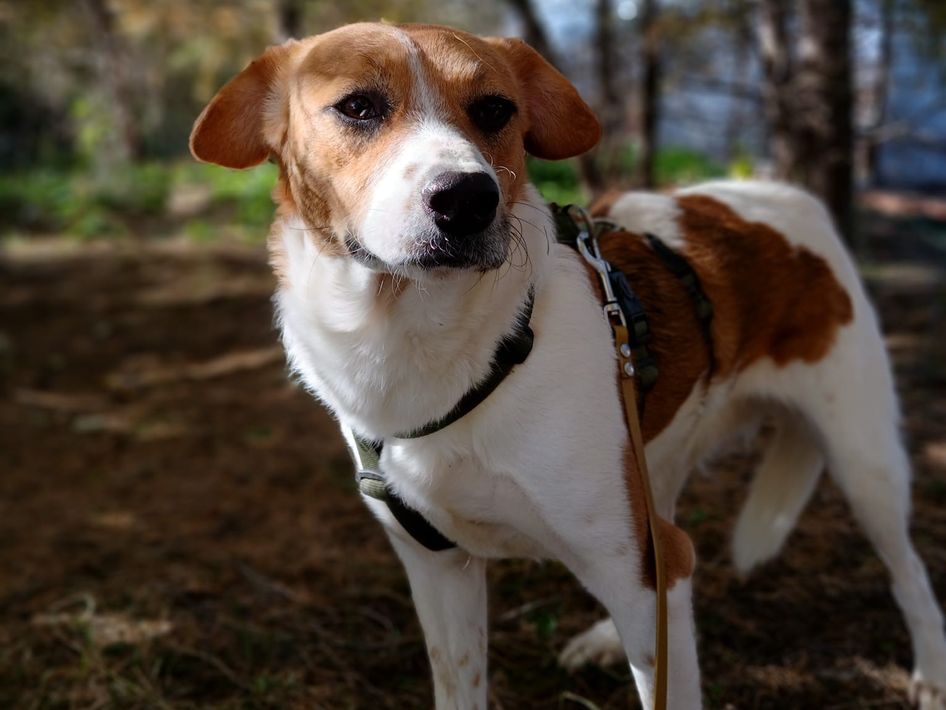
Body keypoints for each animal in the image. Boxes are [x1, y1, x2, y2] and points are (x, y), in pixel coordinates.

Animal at [189, 22, 946, 709]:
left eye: (495, 109)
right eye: (357, 106)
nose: (469, 199)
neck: (422, 341)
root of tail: (780, 196)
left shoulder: (622, 559)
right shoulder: (439, 570)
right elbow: (460, 684)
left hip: (863, 459)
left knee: (909, 574)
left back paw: (931, 673)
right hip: (656, 469)